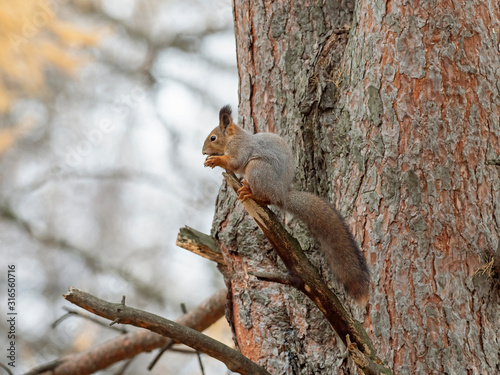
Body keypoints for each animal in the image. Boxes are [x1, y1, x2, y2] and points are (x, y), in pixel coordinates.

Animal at [201, 105, 370, 302]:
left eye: (213, 138)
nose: (203, 152)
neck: (234, 137)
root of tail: (282, 194)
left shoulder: (240, 148)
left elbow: (235, 162)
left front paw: (216, 160)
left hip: (257, 168)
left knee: (266, 197)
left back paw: (250, 193)